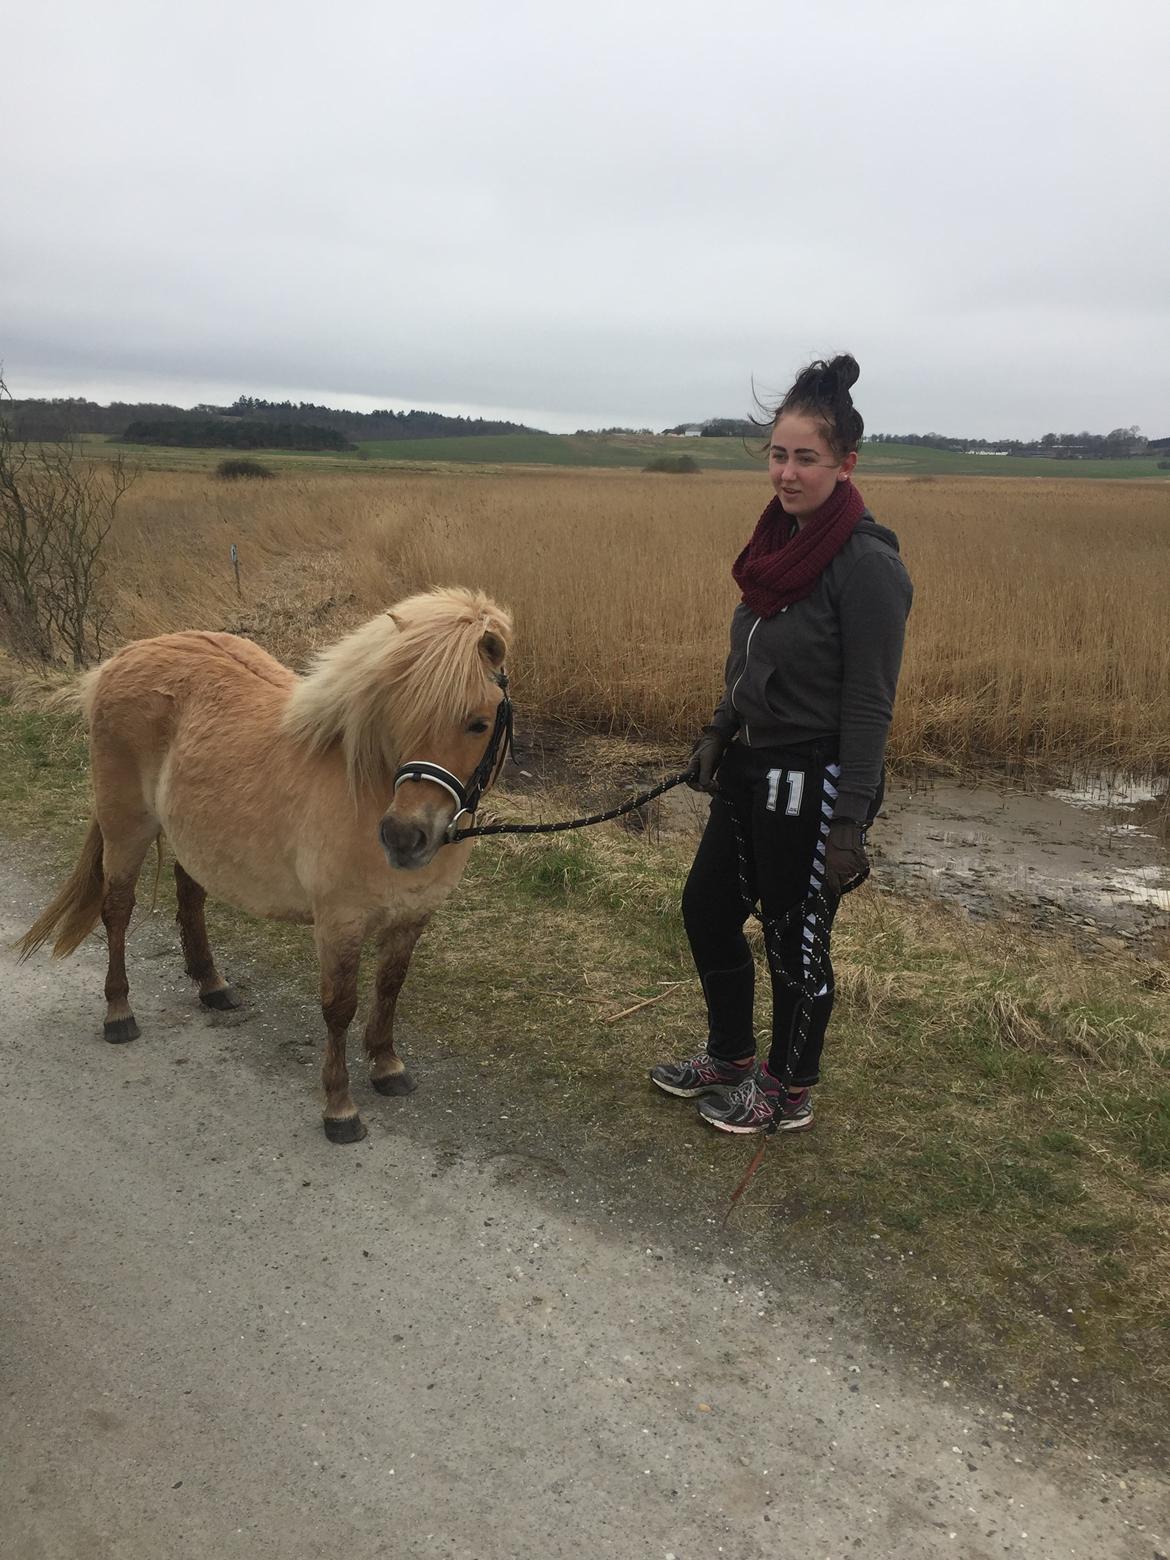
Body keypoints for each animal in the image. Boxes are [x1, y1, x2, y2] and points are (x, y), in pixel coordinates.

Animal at [18, 586, 511, 1148]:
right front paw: (340, 1109)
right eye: (400, 718)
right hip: (126, 830)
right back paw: (119, 1014)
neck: (366, 786)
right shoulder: (338, 923)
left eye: (478, 723)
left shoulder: (411, 917)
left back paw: (212, 986)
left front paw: (387, 1067)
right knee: (117, 911)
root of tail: (122, 658)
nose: (405, 838)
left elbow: (389, 988)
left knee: (190, 895)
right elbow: (339, 1006)